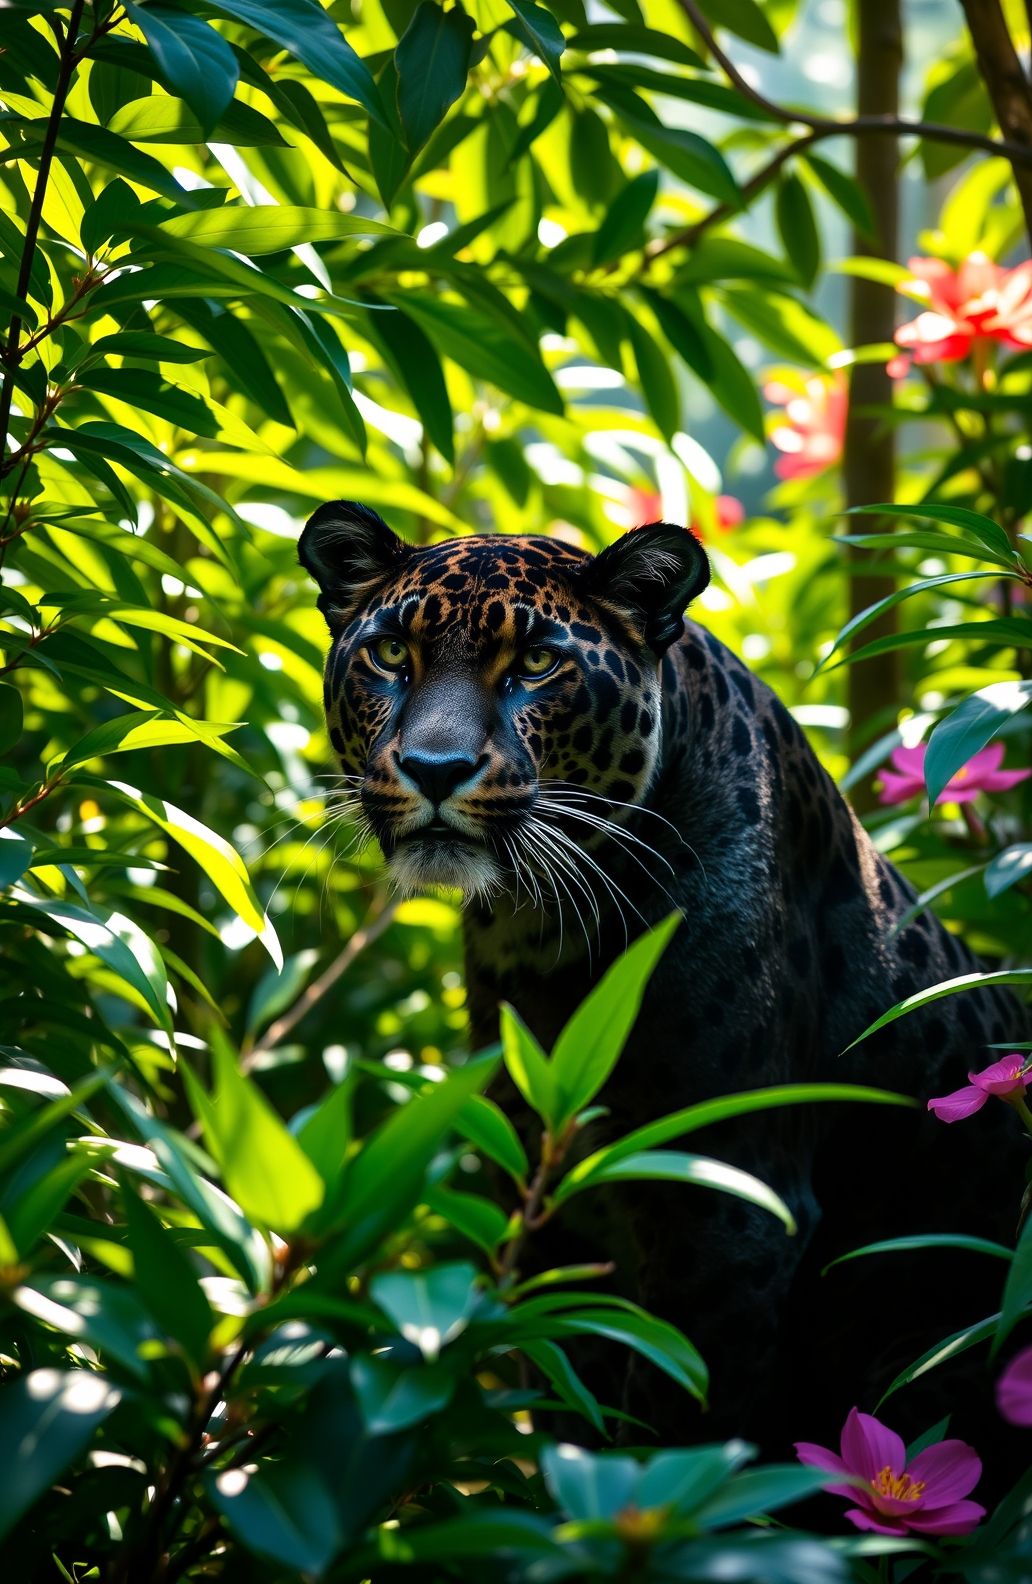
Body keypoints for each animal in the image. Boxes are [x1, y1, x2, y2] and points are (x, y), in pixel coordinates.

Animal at [299, 499, 1030, 1469]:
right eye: (390, 654)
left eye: (536, 664)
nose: (434, 768)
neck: (541, 933)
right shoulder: (544, 1191)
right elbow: (564, 1382)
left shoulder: (725, 1208)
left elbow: (678, 1428)